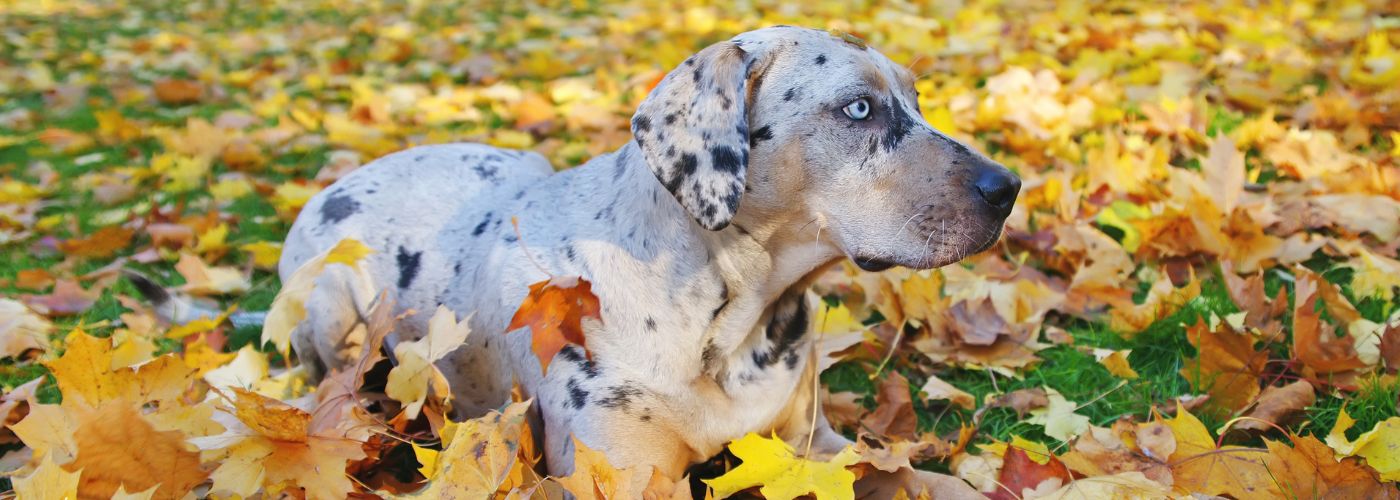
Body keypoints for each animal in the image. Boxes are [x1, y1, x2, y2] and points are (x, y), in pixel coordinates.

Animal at [275, 26, 1019, 481]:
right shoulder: (626, 473)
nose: (1008, 187)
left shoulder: (816, 445)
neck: (730, 322)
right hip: (331, 303)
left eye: (915, 99)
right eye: (859, 108)